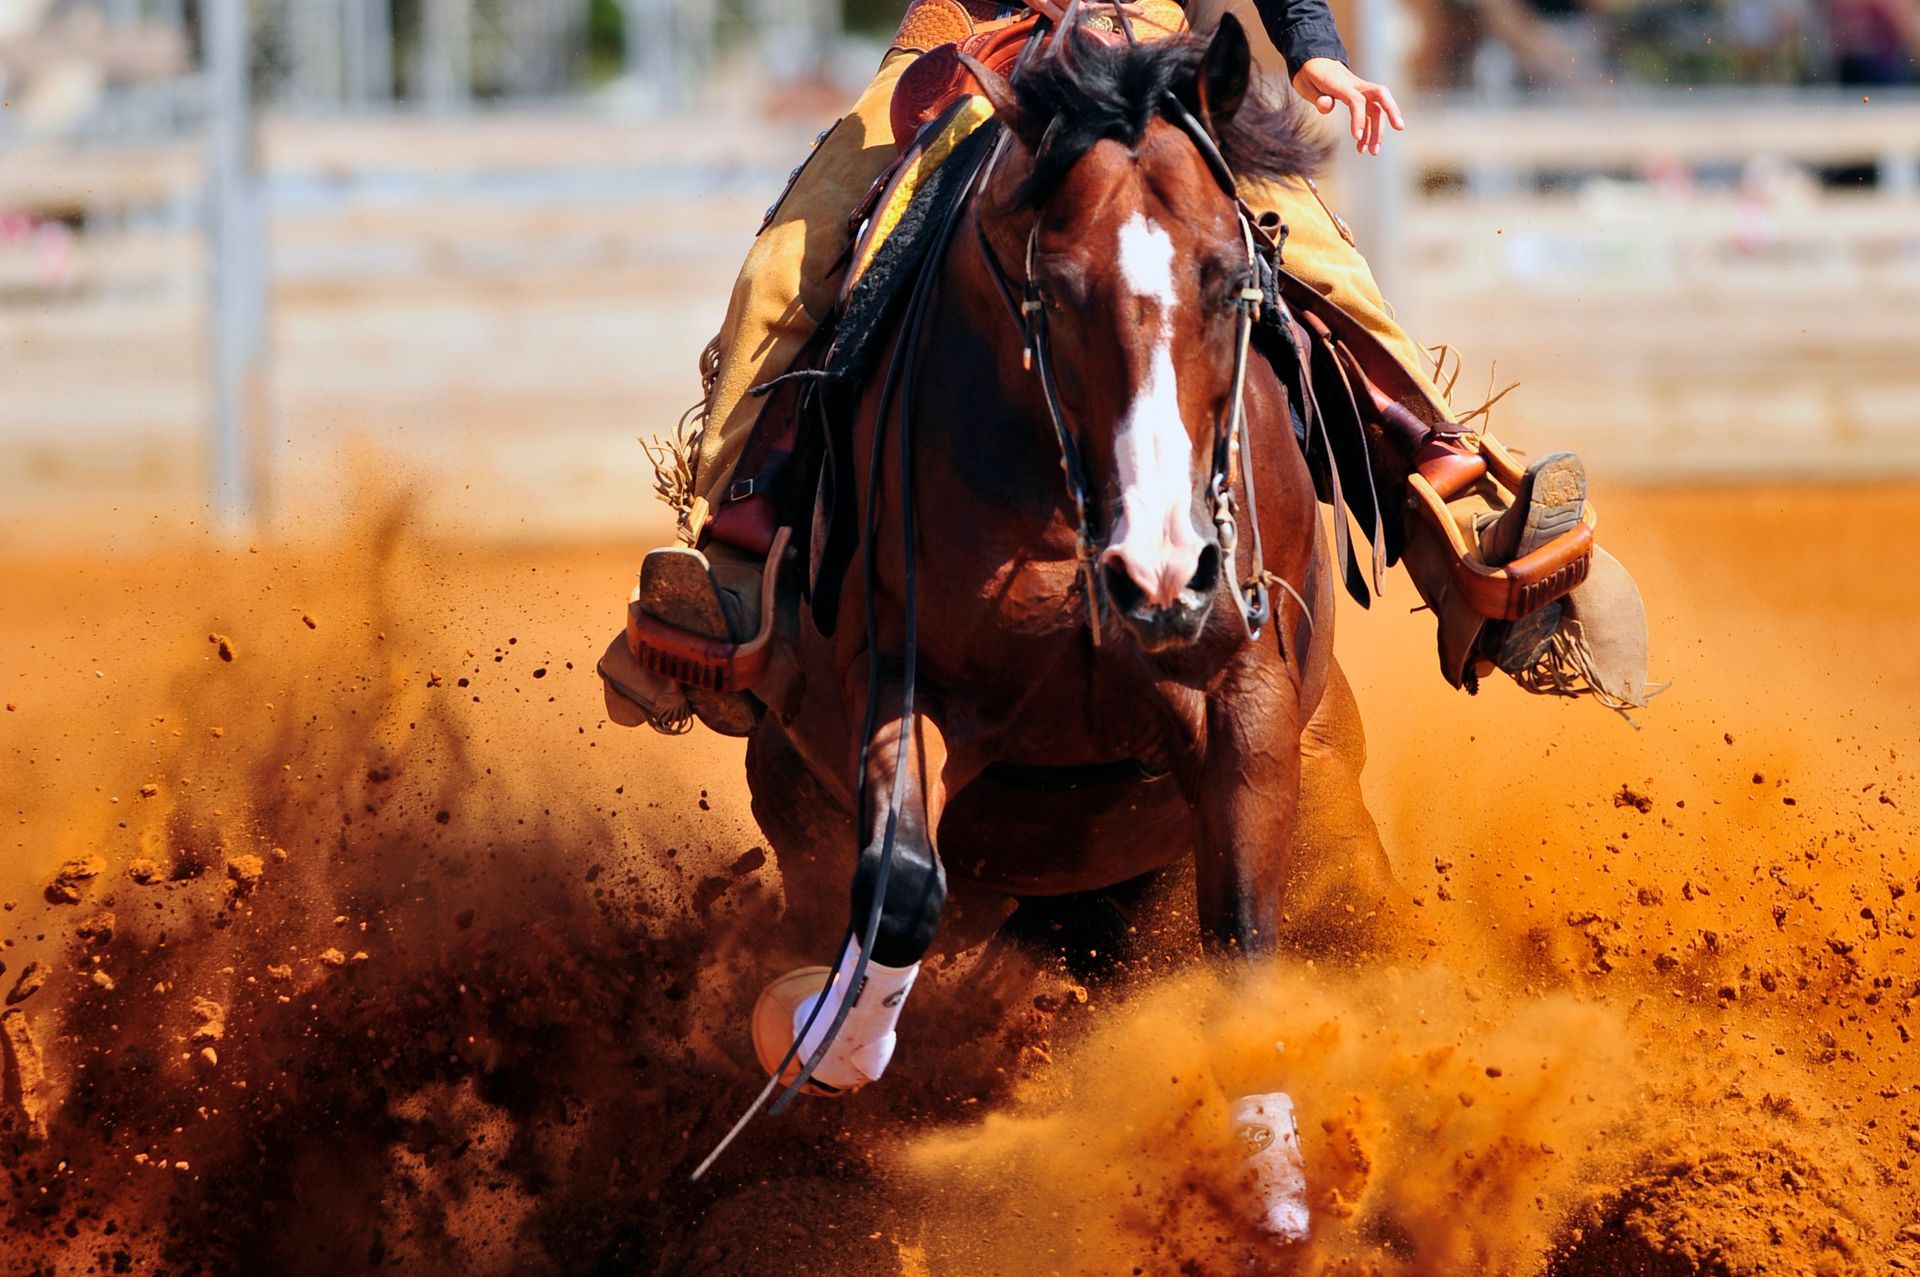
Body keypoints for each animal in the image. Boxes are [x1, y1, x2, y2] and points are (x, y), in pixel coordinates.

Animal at [724, 17, 1413, 1231]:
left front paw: (1276, 1192)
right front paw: (818, 1037)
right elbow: (900, 892)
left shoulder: (1248, 699)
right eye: (1051, 287)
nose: (1164, 571)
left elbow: (1245, 935)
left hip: (1332, 793)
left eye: (1231, 277)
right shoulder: (899, 686)